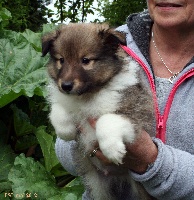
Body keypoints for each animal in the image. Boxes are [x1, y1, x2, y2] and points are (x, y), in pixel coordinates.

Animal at [42, 23, 155, 200]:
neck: (88, 96)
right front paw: (66, 131)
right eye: (61, 60)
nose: (66, 86)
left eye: (85, 60)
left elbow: (106, 120)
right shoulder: (63, 100)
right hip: (97, 186)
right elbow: (58, 110)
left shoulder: (137, 111)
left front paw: (112, 149)